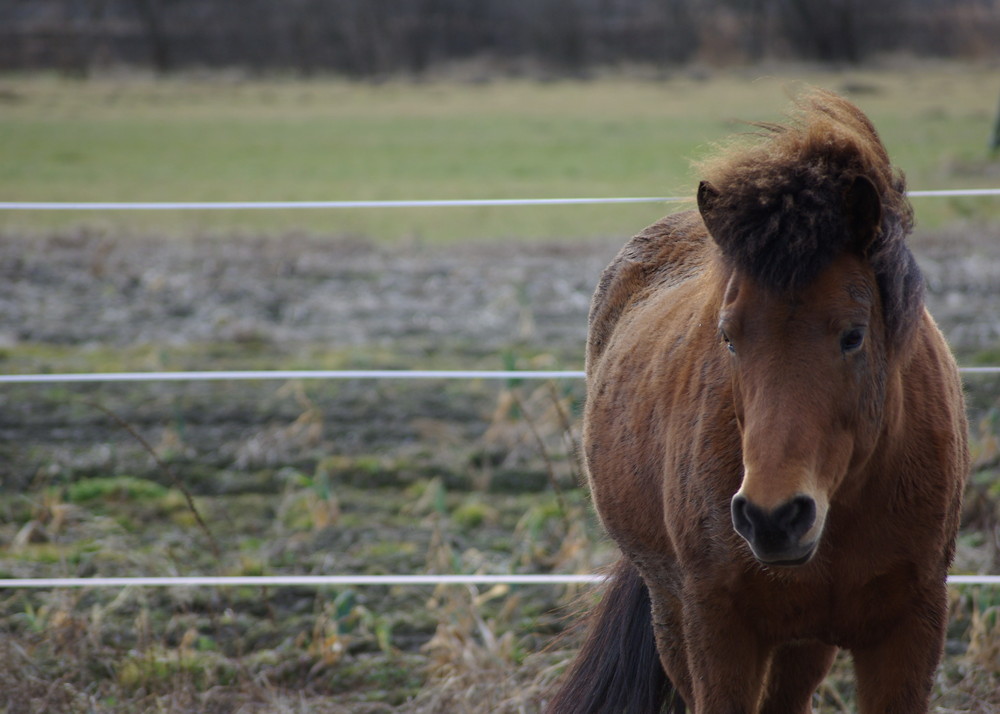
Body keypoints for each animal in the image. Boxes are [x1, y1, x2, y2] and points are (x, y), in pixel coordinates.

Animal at [548, 90, 968, 712]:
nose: (774, 516)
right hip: (675, 616)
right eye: (728, 336)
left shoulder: (911, 629)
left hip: (805, 642)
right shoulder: (719, 631)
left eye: (853, 335)